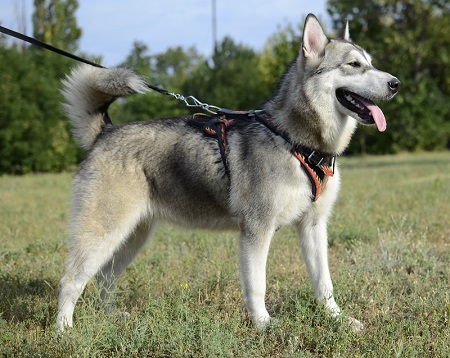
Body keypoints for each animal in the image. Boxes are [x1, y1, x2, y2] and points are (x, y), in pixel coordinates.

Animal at [57, 14, 400, 332]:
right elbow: (257, 286)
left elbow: (324, 283)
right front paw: (263, 325)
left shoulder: (313, 226)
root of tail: (105, 132)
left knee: (104, 278)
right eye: (354, 64)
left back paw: (110, 317)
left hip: (133, 235)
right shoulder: (256, 230)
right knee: (71, 281)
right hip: (104, 234)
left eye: (371, 63)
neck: (296, 141)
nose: (396, 83)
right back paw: (64, 331)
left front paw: (337, 319)